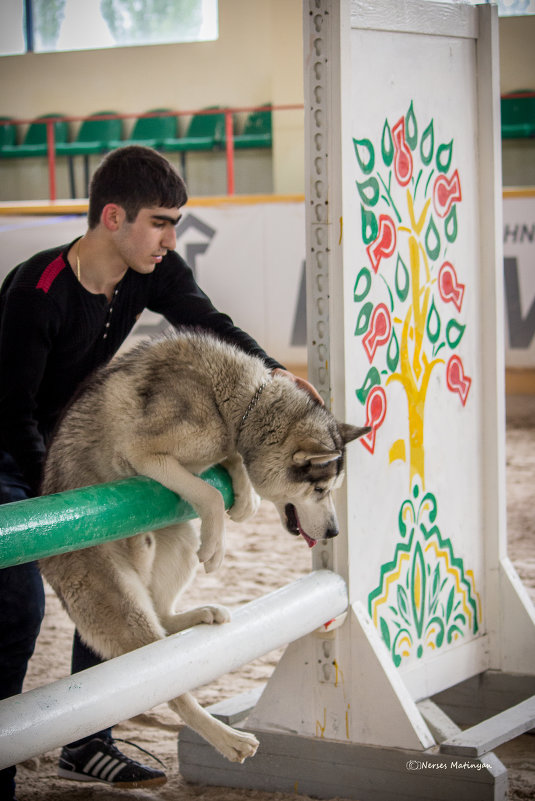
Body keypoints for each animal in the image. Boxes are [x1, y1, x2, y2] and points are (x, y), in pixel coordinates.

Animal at [40, 330, 368, 764]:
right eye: (320, 490)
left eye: (333, 490)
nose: (333, 532)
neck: (237, 406)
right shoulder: (141, 451)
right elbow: (210, 494)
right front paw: (220, 543)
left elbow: (231, 467)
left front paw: (244, 498)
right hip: (125, 607)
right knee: (171, 689)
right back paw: (230, 740)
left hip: (179, 542)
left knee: (164, 617)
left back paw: (200, 615)